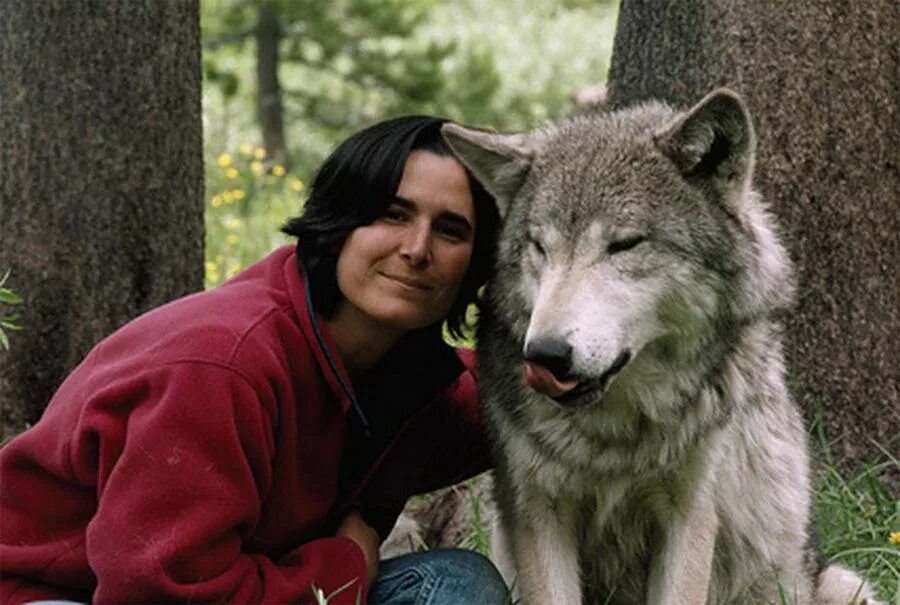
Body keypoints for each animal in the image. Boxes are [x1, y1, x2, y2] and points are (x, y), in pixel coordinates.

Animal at [440, 91, 884, 604]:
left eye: (624, 244)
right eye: (539, 247)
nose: (545, 355)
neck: (617, 440)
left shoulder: (690, 515)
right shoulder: (539, 512)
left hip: (844, 585)